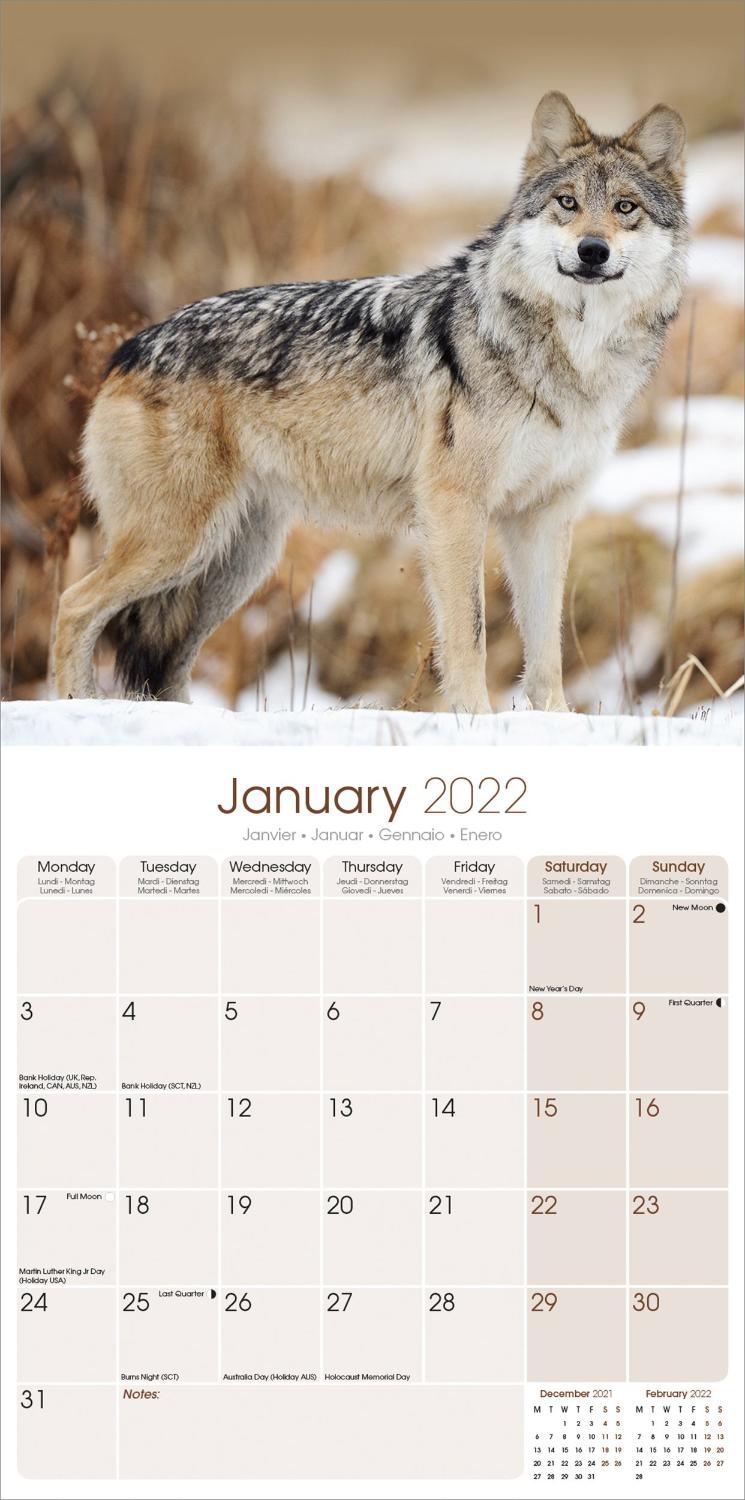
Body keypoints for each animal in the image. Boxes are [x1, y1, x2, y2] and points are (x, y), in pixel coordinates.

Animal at [54, 92, 687, 713]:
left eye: (625, 207)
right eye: (567, 202)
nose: (592, 250)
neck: (574, 356)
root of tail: (129, 348)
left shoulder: (545, 516)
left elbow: (547, 647)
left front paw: (552, 721)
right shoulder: (454, 507)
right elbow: (470, 635)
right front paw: (475, 721)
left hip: (233, 564)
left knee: (166, 667)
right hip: (178, 544)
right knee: (72, 606)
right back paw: (74, 703)